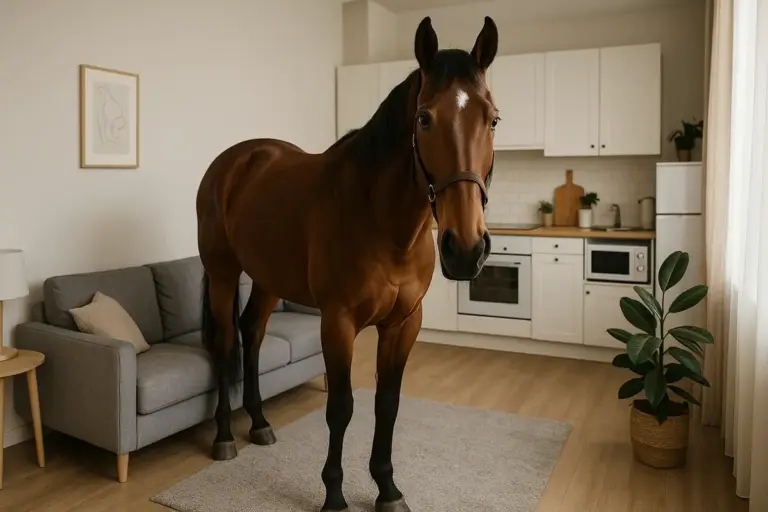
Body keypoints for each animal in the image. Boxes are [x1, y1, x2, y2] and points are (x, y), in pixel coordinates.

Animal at [196, 15, 499, 512]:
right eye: (424, 118)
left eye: (492, 119)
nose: (466, 248)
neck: (382, 220)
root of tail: (233, 161)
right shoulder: (337, 323)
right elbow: (341, 408)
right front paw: (334, 494)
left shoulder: (404, 323)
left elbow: (386, 405)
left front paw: (388, 489)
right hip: (223, 273)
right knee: (224, 344)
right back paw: (224, 437)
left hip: (267, 279)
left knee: (252, 333)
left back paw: (259, 423)